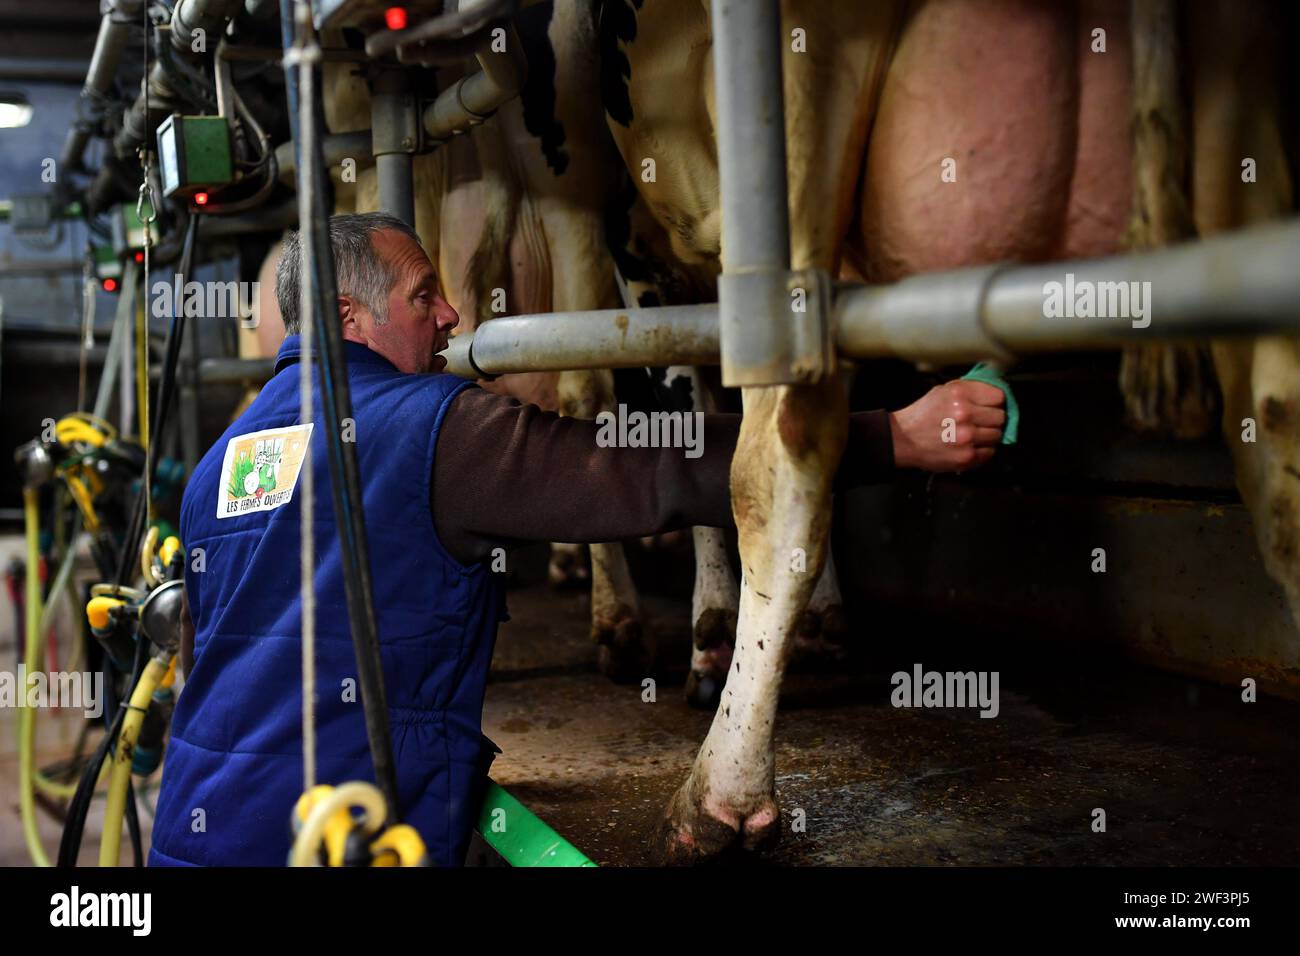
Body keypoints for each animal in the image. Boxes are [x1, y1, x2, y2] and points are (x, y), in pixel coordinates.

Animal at [595, 0, 1294, 863]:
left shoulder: (630, 238)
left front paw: (698, 636)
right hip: (1239, 114)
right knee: (1280, 442)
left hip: (795, 109)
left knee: (779, 467)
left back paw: (719, 796)